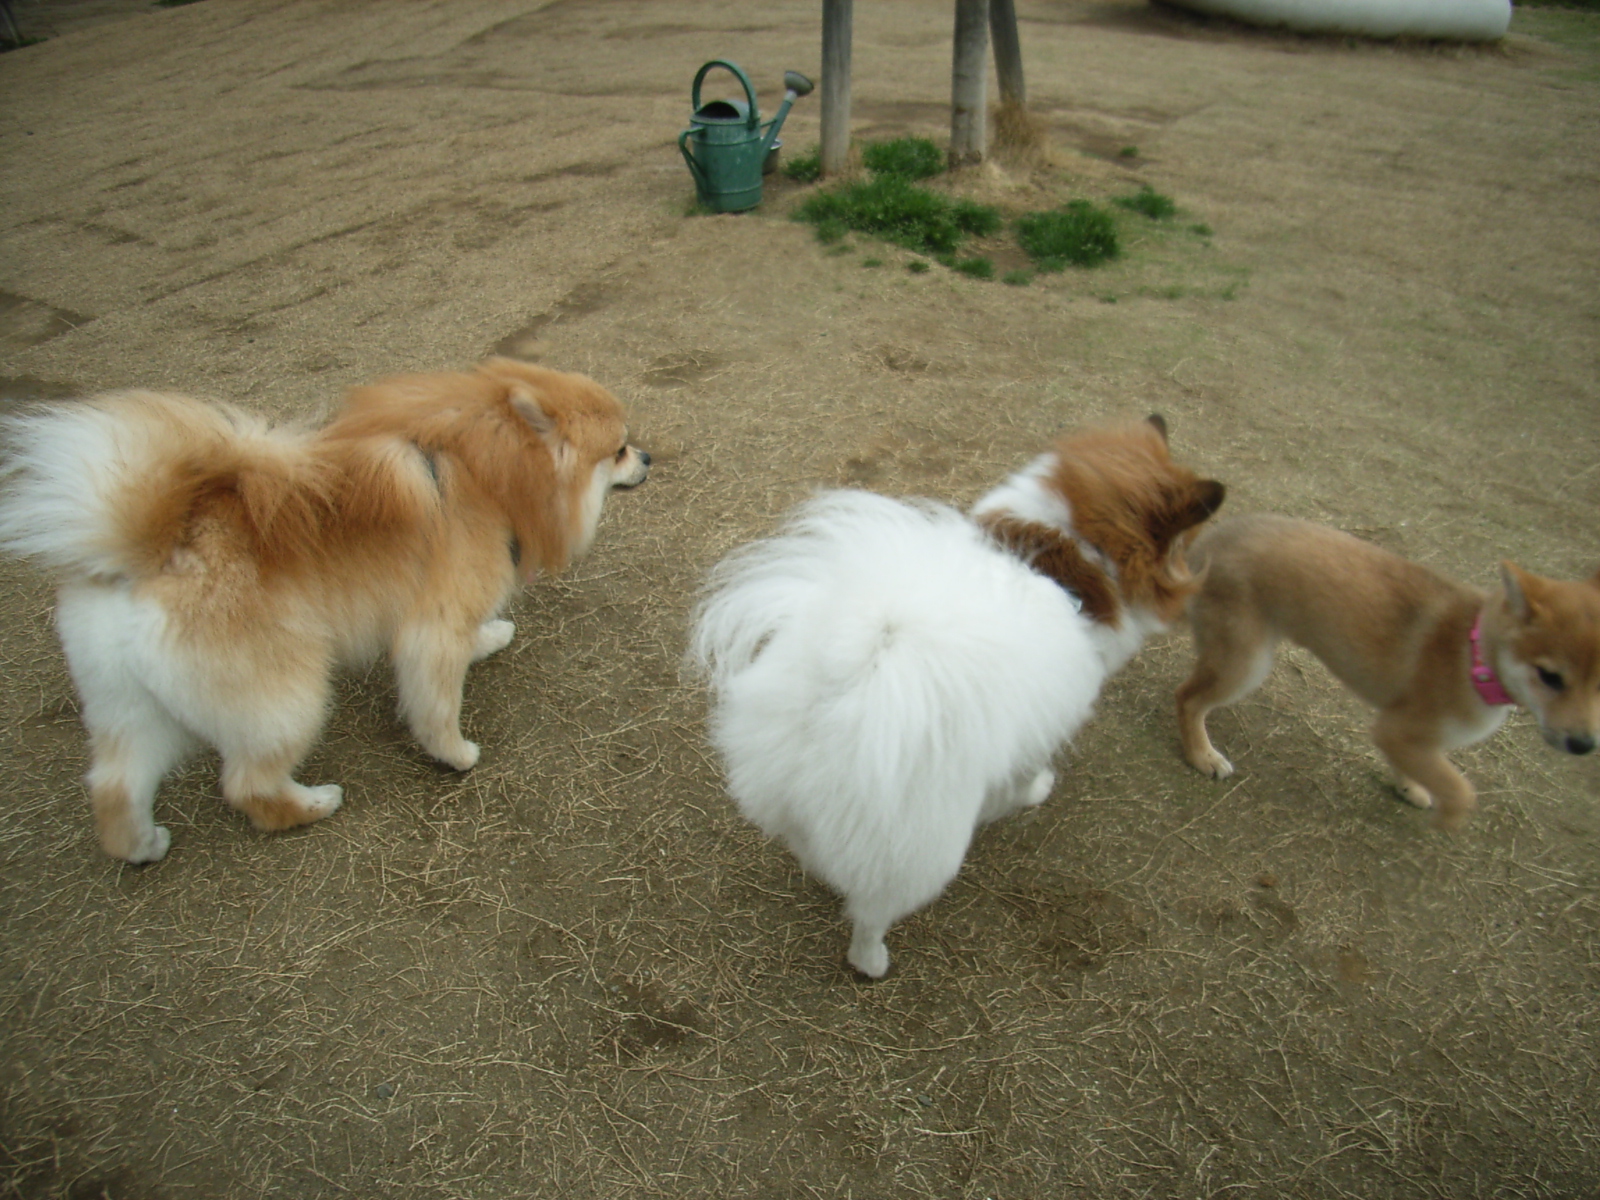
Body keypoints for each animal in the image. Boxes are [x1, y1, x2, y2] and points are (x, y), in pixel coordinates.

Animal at [0, 357, 649, 863]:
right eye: (617, 449)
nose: (647, 457)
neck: (485, 471)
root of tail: (154, 546)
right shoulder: (433, 625)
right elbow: (437, 700)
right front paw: (455, 754)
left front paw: (486, 638)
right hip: (286, 694)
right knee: (247, 784)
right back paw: (312, 804)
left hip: (129, 701)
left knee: (115, 784)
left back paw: (142, 846)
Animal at [689, 417, 1224, 977]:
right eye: (1187, 543)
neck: (1069, 550)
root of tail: (849, 673)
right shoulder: (1042, 729)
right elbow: (1026, 775)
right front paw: (1035, 792)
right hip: (927, 847)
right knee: (872, 914)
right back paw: (872, 961)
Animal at [1175, 514, 1600, 829]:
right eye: (1551, 677)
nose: (1584, 745)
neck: (1474, 653)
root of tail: (1208, 543)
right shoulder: (1397, 730)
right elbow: (1460, 788)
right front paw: (1449, 817)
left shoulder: (1410, 738)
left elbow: (1419, 766)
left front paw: (1409, 787)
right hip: (1247, 664)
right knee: (1188, 699)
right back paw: (1202, 755)